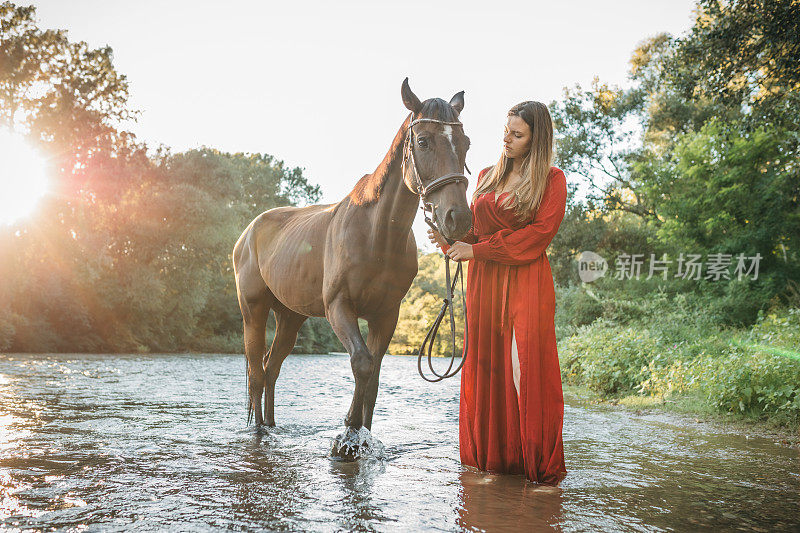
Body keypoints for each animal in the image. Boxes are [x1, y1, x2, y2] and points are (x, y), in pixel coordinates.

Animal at [231, 78, 472, 454]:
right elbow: (361, 362)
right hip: (253, 310)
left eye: (465, 143)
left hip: (290, 317)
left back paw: (271, 426)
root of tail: (248, 232)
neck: (377, 234)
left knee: (271, 368)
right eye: (423, 140)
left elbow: (373, 376)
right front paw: (346, 436)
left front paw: (361, 436)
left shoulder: (386, 315)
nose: (457, 219)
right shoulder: (339, 307)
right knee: (257, 372)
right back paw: (258, 431)